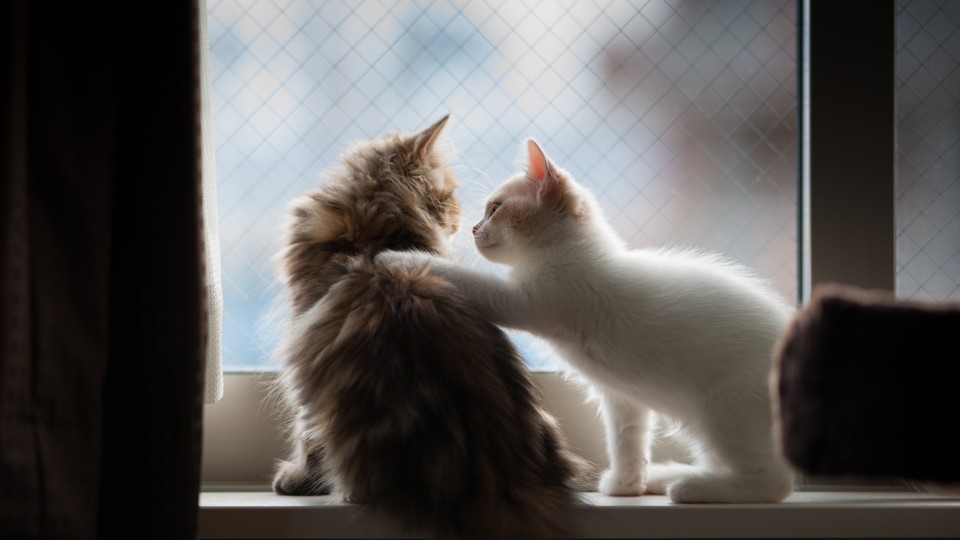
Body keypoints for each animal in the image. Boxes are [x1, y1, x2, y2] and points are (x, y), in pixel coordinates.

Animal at [268, 116, 584, 536]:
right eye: (449, 195)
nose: (462, 219)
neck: (368, 234)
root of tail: (502, 486)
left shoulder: (303, 346)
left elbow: (306, 434)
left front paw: (295, 479)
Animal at [380, 139, 796, 502]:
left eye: (495, 208)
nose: (474, 229)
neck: (568, 252)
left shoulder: (525, 302)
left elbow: (468, 281)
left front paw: (398, 258)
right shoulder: (622, 396)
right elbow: (627, 437)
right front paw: (626, 484)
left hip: (725, 410)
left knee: (774, 482)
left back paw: (695, 487)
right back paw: (668, 475)